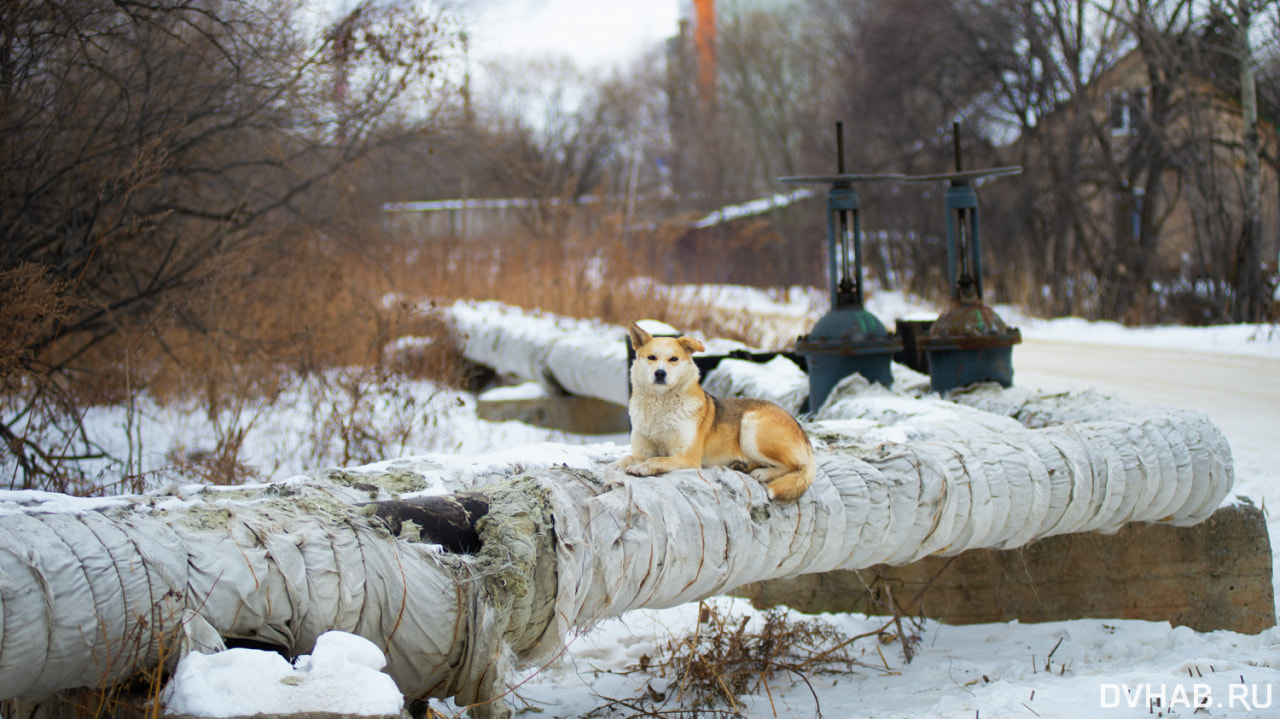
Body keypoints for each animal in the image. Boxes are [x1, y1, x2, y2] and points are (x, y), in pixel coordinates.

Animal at [611, 322, 819, 501]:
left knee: (795, 466)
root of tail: (801, 429)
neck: (660, 404)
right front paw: (615, 466)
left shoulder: (688, 457)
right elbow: (627, 458)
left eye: (674, 359)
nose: (660, 373)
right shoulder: (642, 451)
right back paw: (742, 466)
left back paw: (763, 472)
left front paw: (643, 468)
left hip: (750, 425)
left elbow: (658, 460)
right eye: (651, 357)